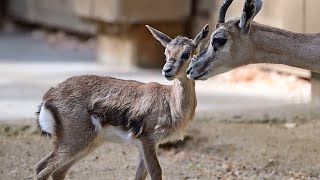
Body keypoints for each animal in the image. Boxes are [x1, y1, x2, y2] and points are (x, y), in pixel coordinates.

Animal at [35, 24, 210, 180]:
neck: (170, 102)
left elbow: (140, 175)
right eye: (166, 52)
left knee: (55, 171)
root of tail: (50, 95)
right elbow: (156, 172)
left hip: (90, 143)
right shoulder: (147, 140)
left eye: (186, 53)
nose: (167, 70)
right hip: (75, 142)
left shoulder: (147, 145)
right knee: (42, 170)